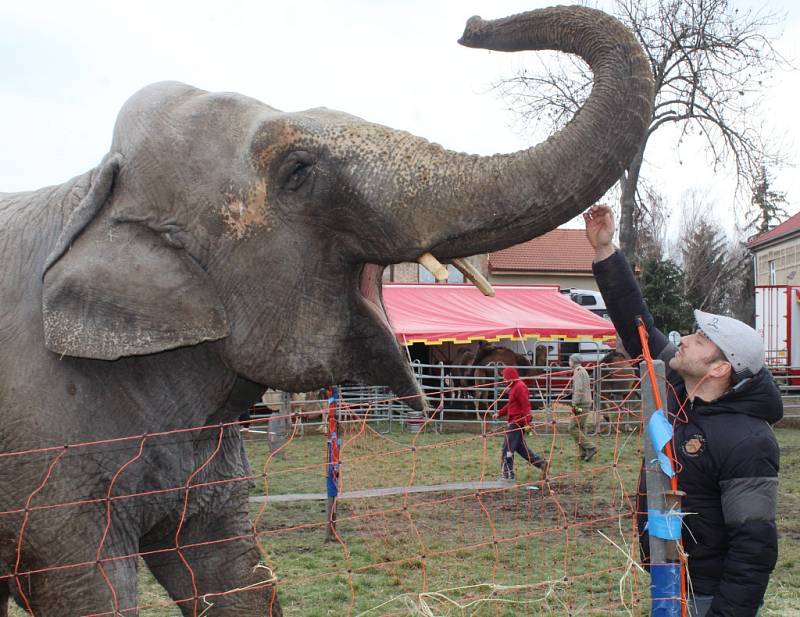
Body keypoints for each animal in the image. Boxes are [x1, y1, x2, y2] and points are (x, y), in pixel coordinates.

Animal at [0, 6, 648, 616]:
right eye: (298, 171)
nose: (472, 26)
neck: (92, 189)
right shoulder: (50, 479)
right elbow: (90, 591)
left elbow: (237, 577)